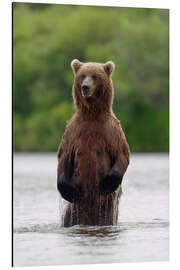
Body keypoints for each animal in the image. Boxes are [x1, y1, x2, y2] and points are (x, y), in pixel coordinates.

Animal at [57, 59, 129, 228]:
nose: (85, 87)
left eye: (95, 76)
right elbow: (64, 156)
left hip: (107, 209)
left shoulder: (111, 130)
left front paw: (107, 183)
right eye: (82, 75)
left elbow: (122, 154)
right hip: (73, 211)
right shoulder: (73, 131)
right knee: (68, 218)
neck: (92, 114)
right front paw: (69, 191)